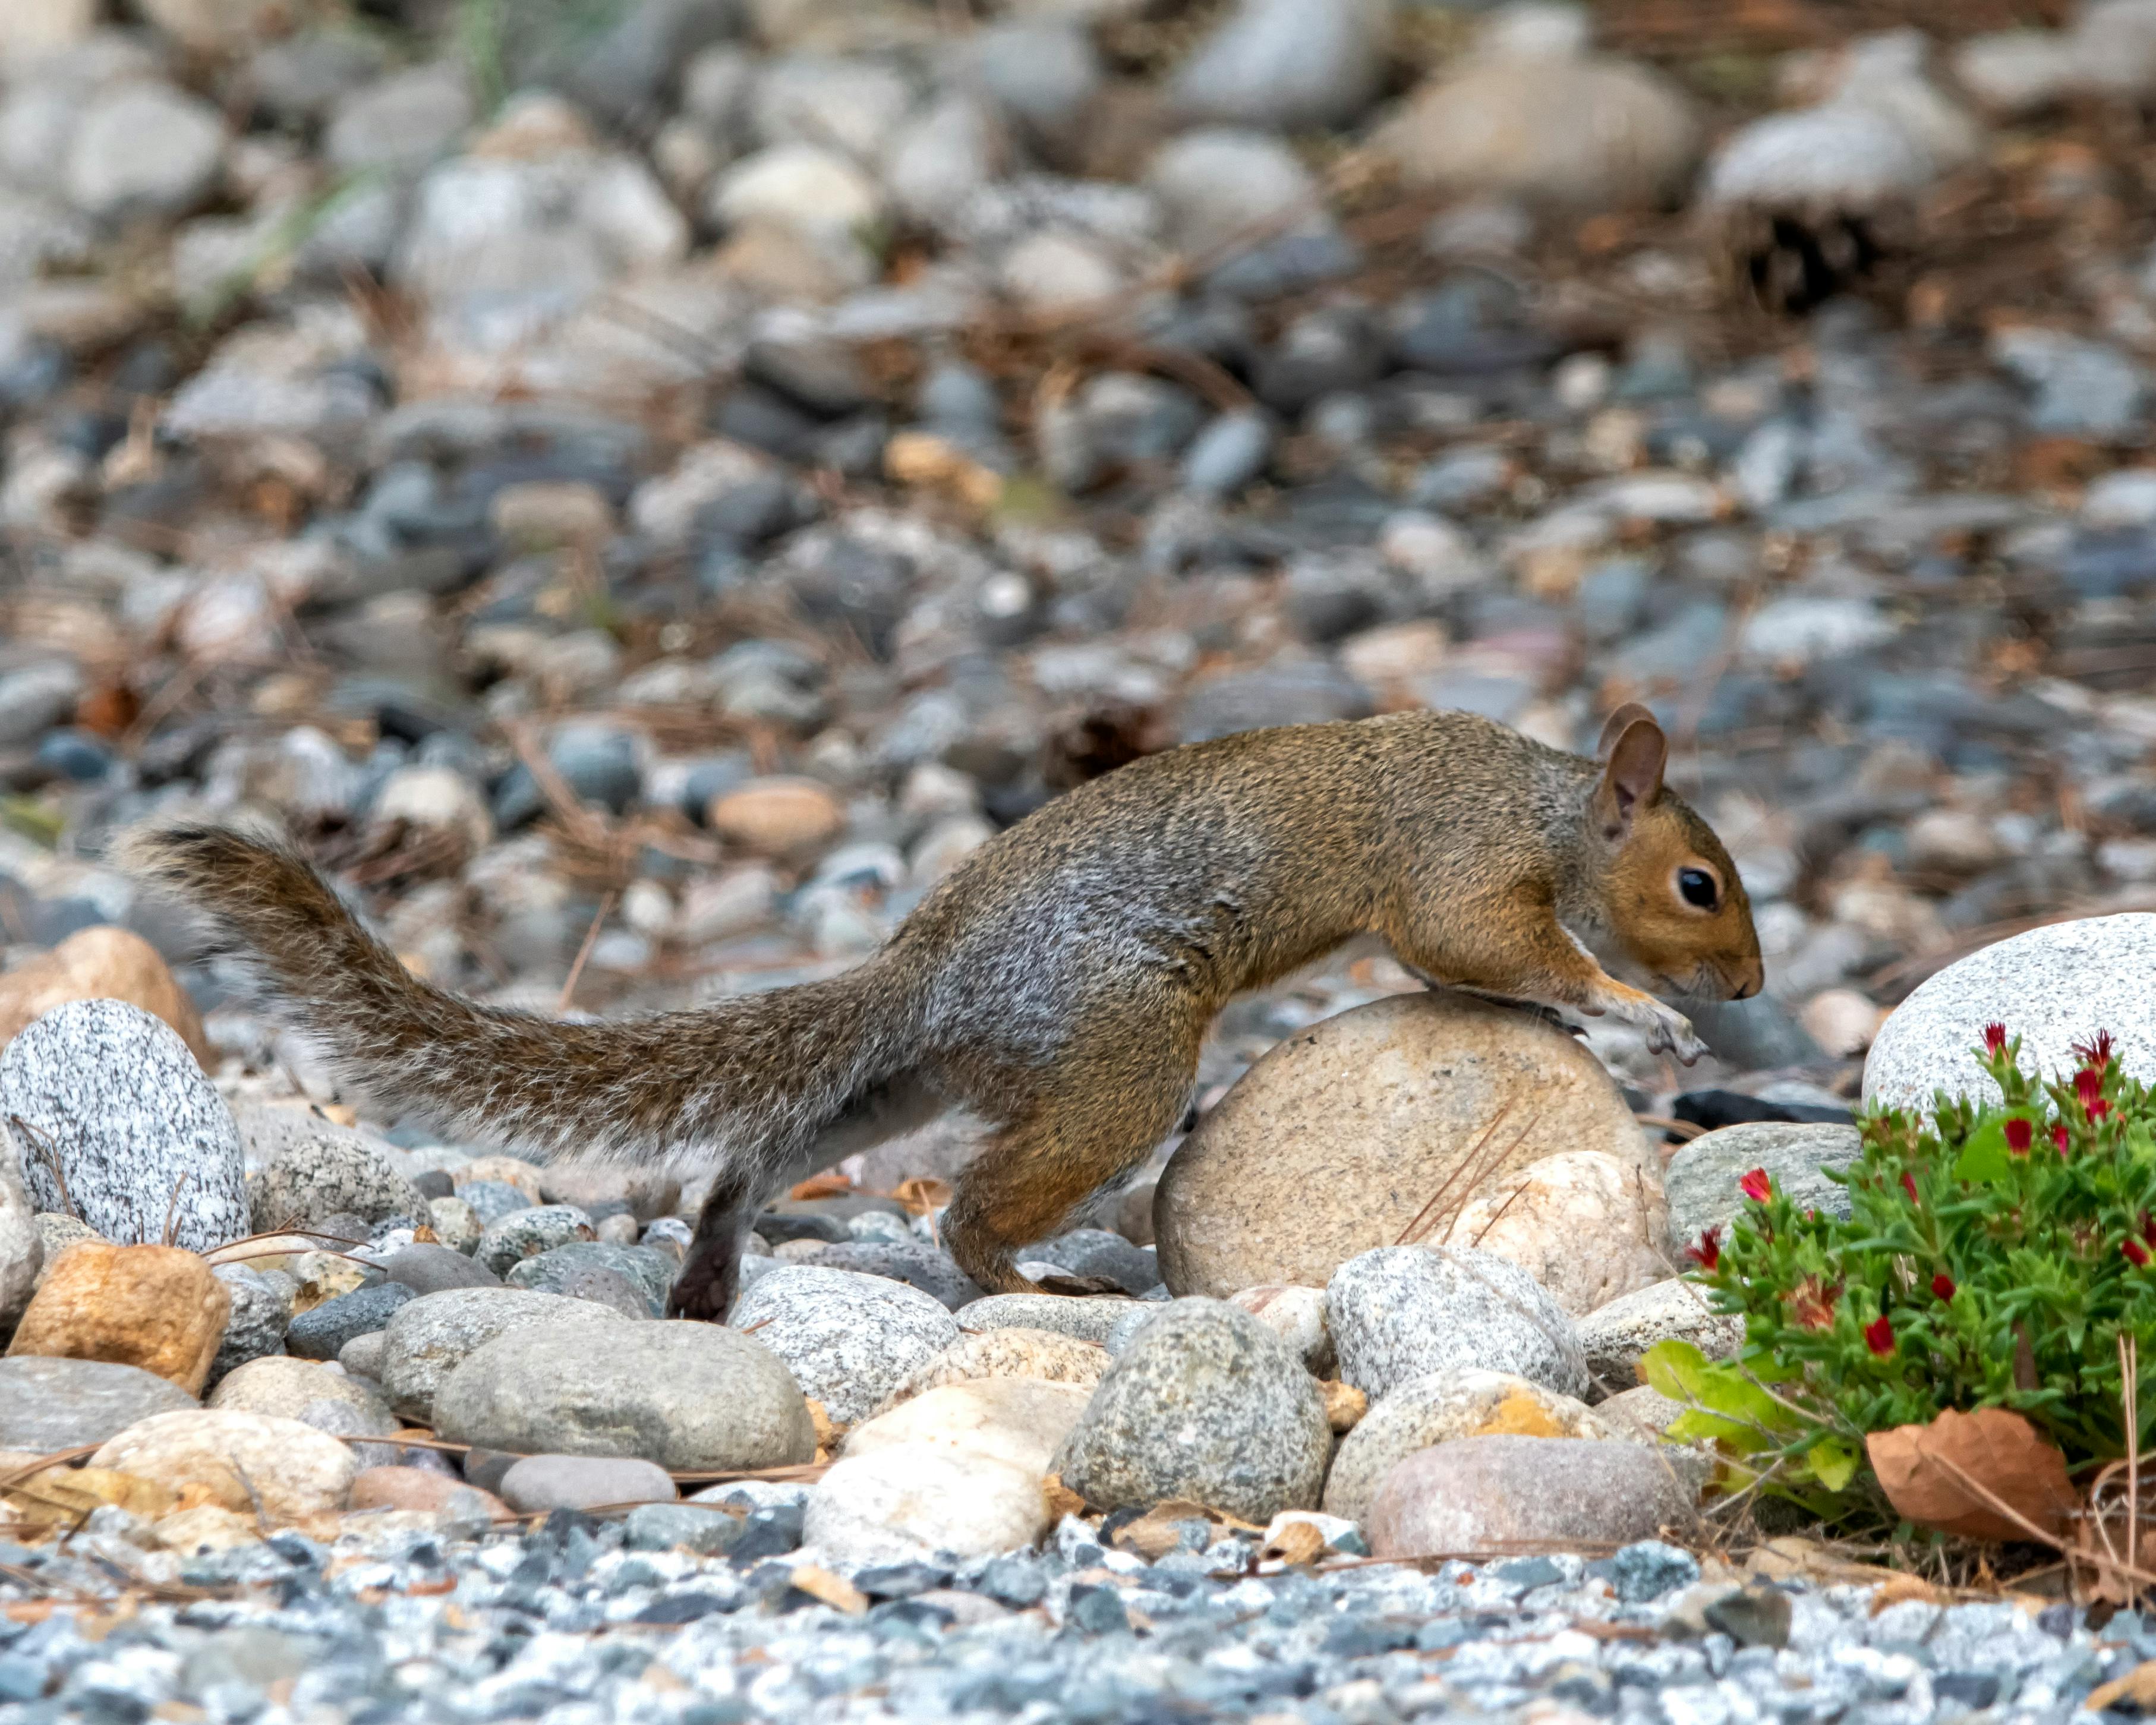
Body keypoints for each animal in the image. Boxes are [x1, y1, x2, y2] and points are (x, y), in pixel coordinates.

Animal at [126, 698, 1759, 1319]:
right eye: (1697, 883)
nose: (1747, 986)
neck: (1543, 803)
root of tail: (928, 966)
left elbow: (1454, 974)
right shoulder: (1457, 867)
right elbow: (1480, 948)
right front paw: (1630, 1010)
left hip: (923, 1076)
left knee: (772, 1149)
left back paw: (713, 1265)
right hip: (1120, 1055)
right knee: (969, 1208)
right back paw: (1031, 1282)